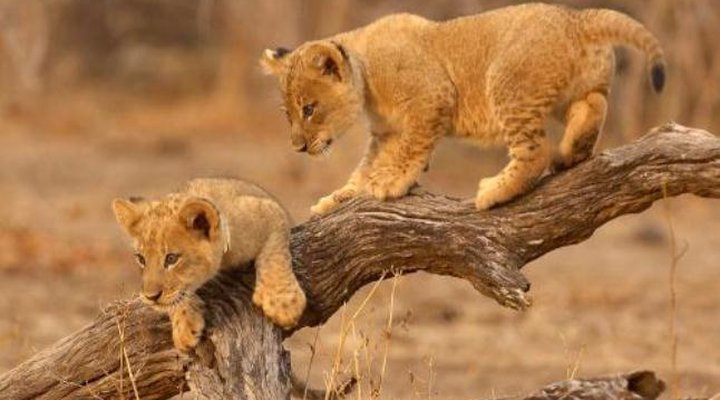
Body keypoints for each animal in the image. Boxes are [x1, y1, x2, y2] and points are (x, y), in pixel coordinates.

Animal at [112, 178, 306, 352]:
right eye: (141, 259)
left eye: (171, 259)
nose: (151, 297)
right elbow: (178, 298)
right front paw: (183, 327)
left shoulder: (270, 210)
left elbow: (275, 254)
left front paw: (283, 305)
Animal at [260, 3, 665, 214]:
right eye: (287, 114)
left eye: (309, 109)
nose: (298, 147)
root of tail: (576, 17)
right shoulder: (386, 132)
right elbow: (366, 167)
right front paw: (337, 198)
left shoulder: (432, 98)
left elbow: (410, 149)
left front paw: (390, 183)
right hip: (574, 90)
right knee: (593, 104)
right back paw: (571, 154)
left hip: (505, 84)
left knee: (534, 153)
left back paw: (494, 190)